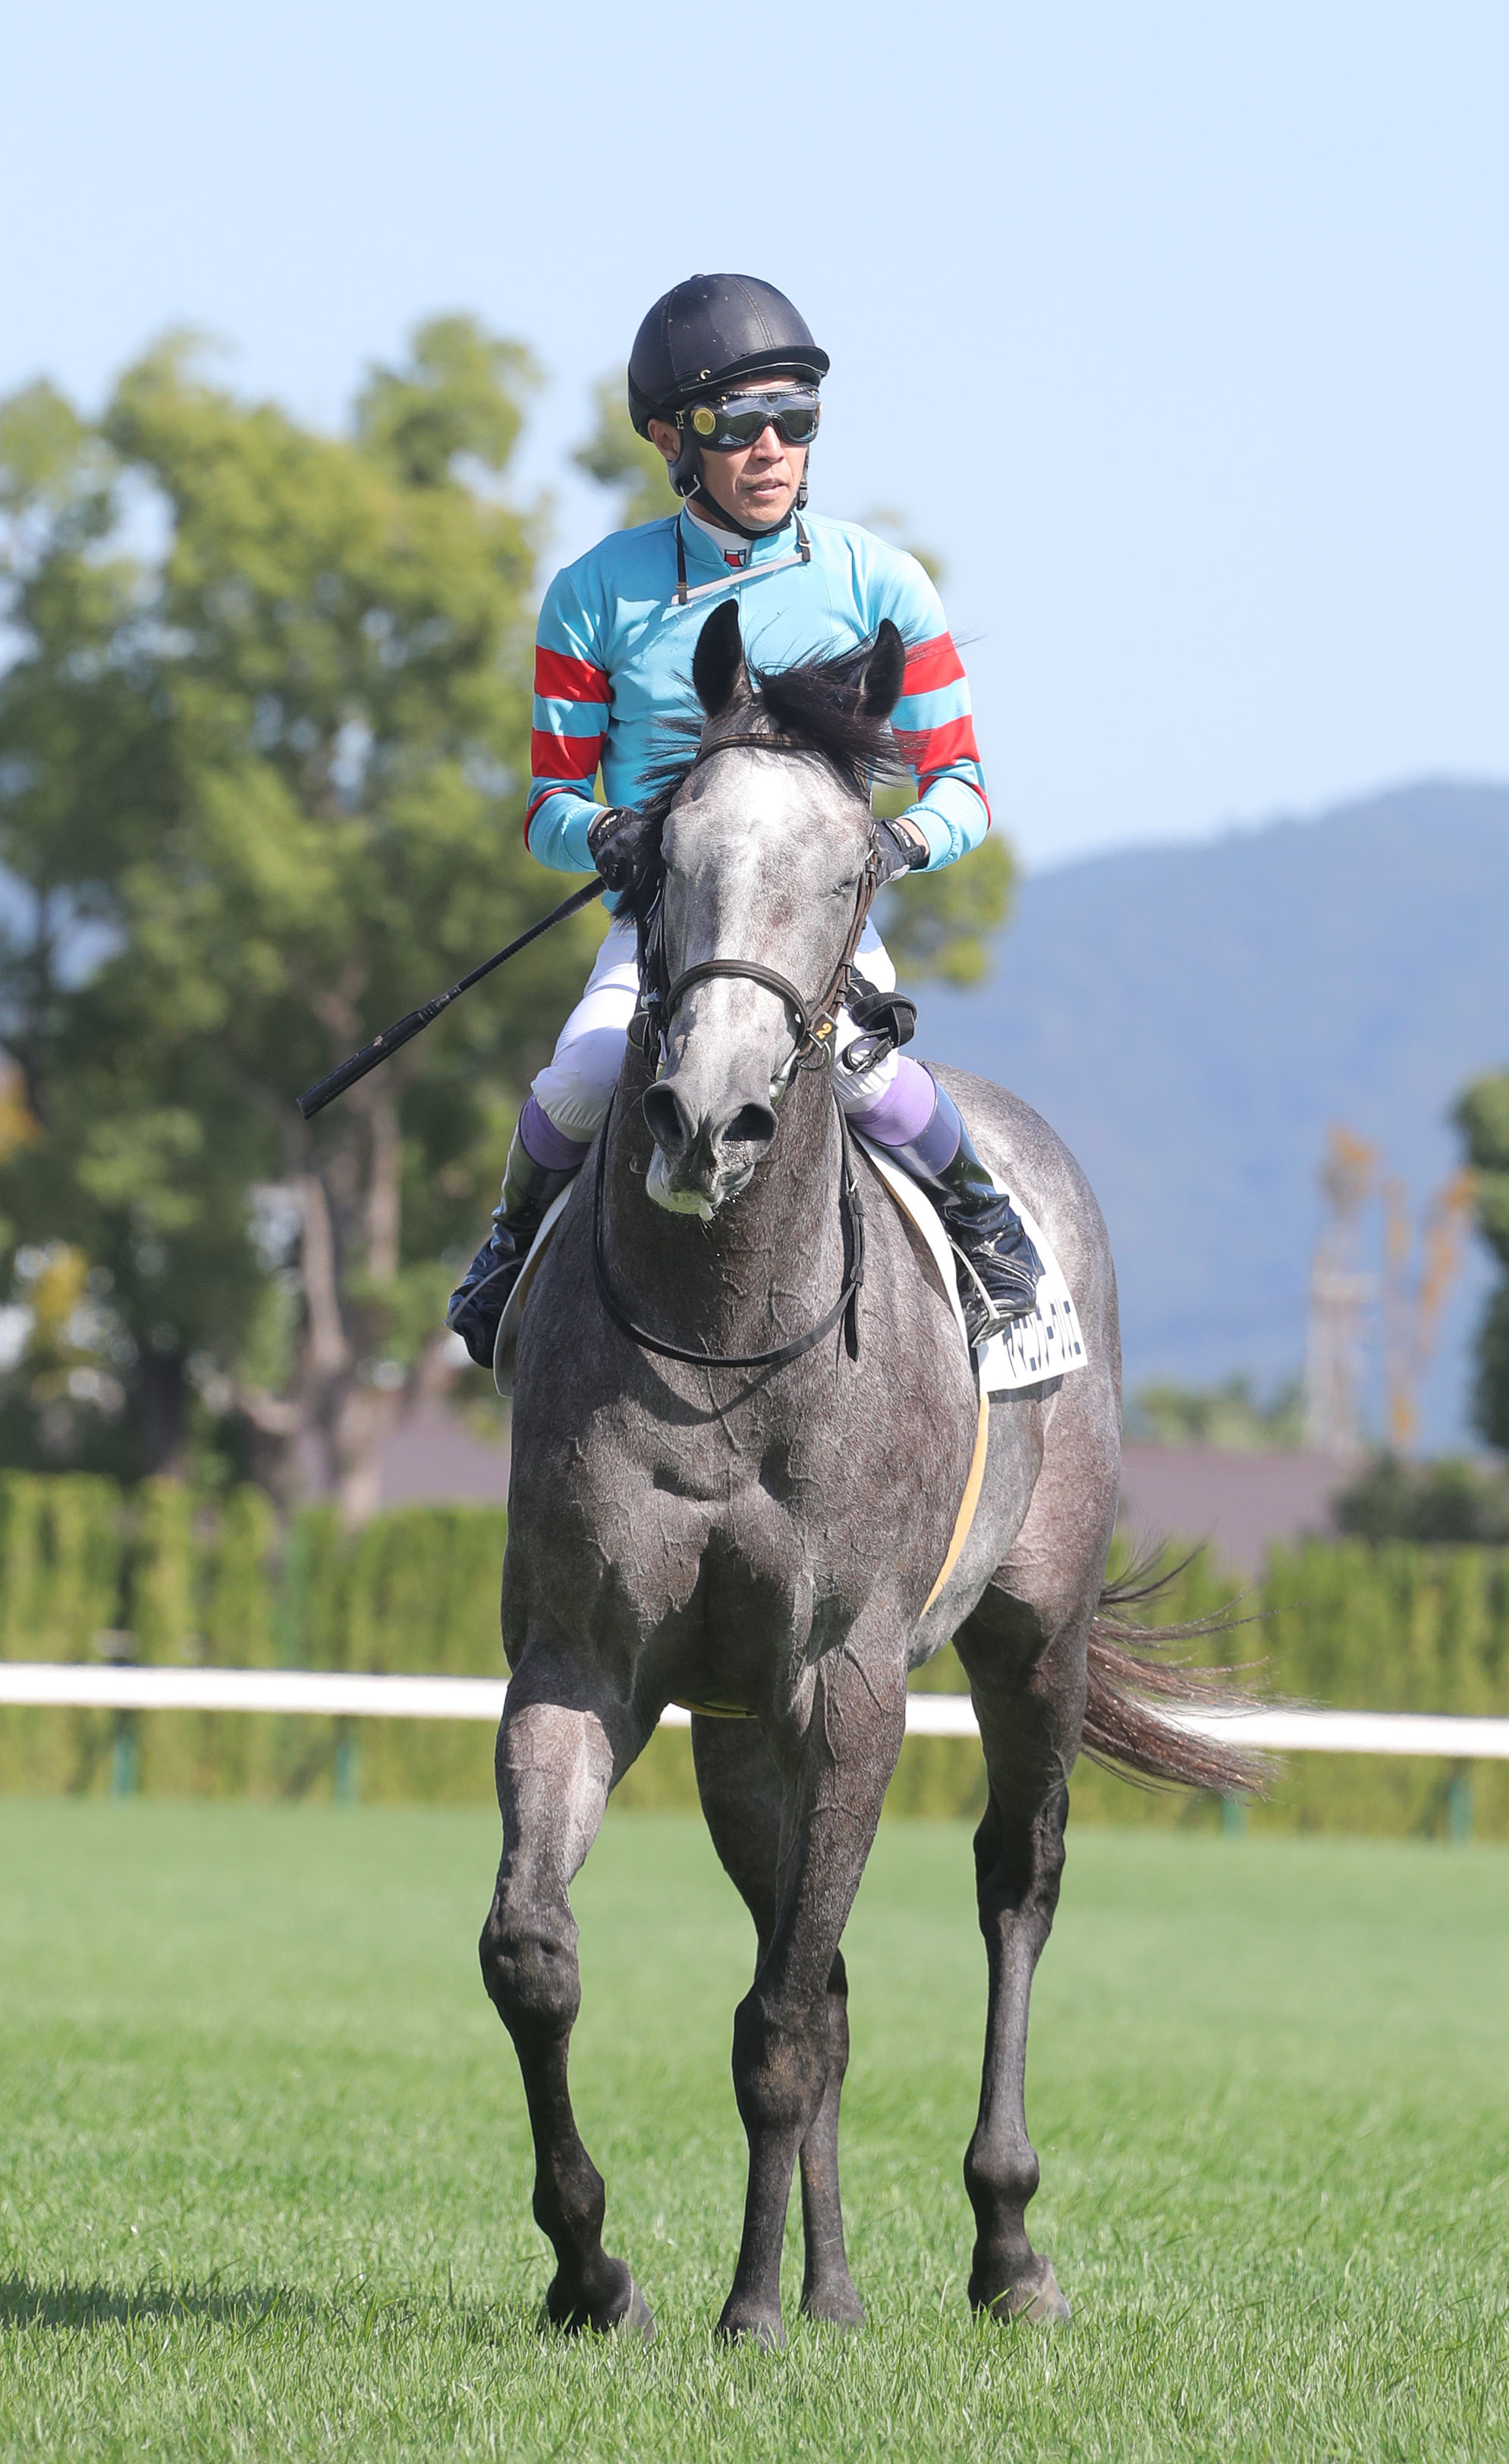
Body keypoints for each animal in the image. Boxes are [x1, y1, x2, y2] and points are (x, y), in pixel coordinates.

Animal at [478, 598, 1251, 2346]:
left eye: (848, 873)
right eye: (663, 855)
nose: (706, 1118)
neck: (717, 1338)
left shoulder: (848, 1678)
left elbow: (778, 2023)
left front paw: (749, 2313)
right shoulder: (589, 1658)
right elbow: (542, 1957)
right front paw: (595, 2267)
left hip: (1029, 1637)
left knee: (1010, 1889)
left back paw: (1001, 2246)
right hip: (734, 1727)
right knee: (810, 1964)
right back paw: (824, 2282)